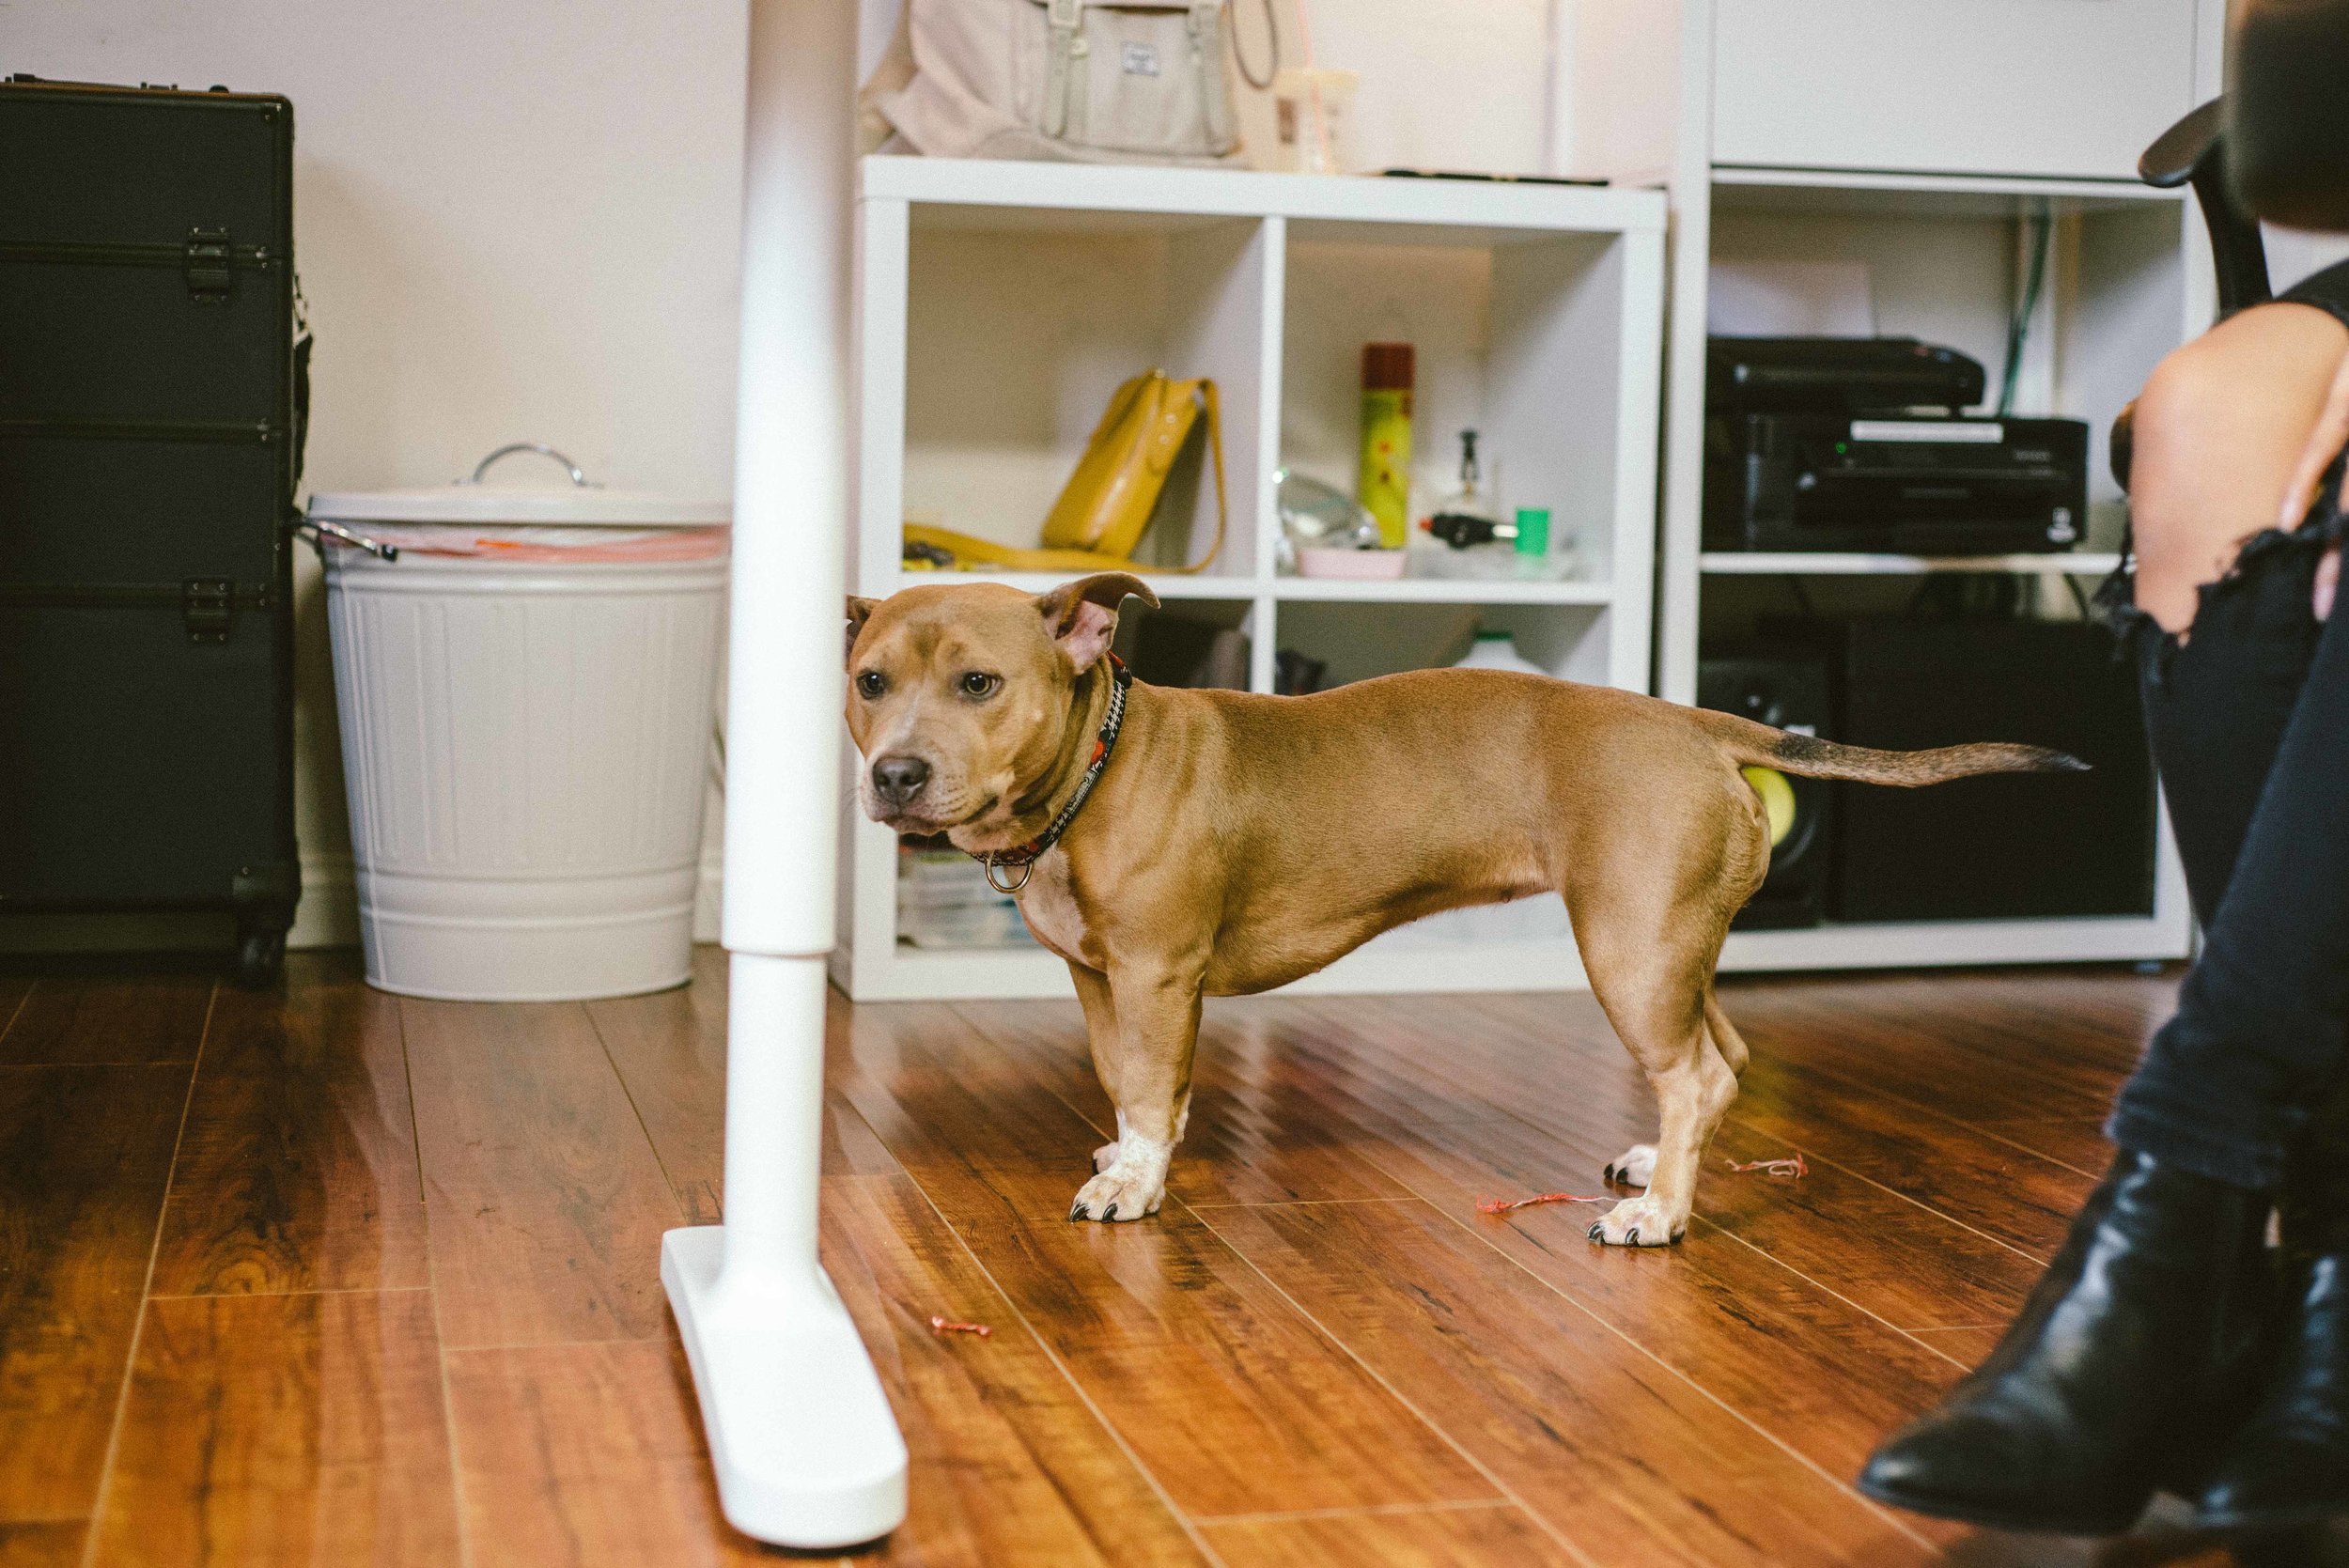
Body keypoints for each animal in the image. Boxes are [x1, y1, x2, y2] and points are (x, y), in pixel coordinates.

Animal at [841, 570, 2077, 1239]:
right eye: (868, 682)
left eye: (979, 684)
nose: (894, 774)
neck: (1096, 766)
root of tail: (1696, 723)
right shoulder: (1099, 979)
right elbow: (1129, 1084)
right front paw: (1128, 1155)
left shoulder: (1153, 977)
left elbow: (1151, 1086)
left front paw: (1133, 1185)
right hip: (1670, 945)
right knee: (1719, 1057)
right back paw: (1657, 1165)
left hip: (1628, 950)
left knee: (1697, 1071)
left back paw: (1659, 1218)